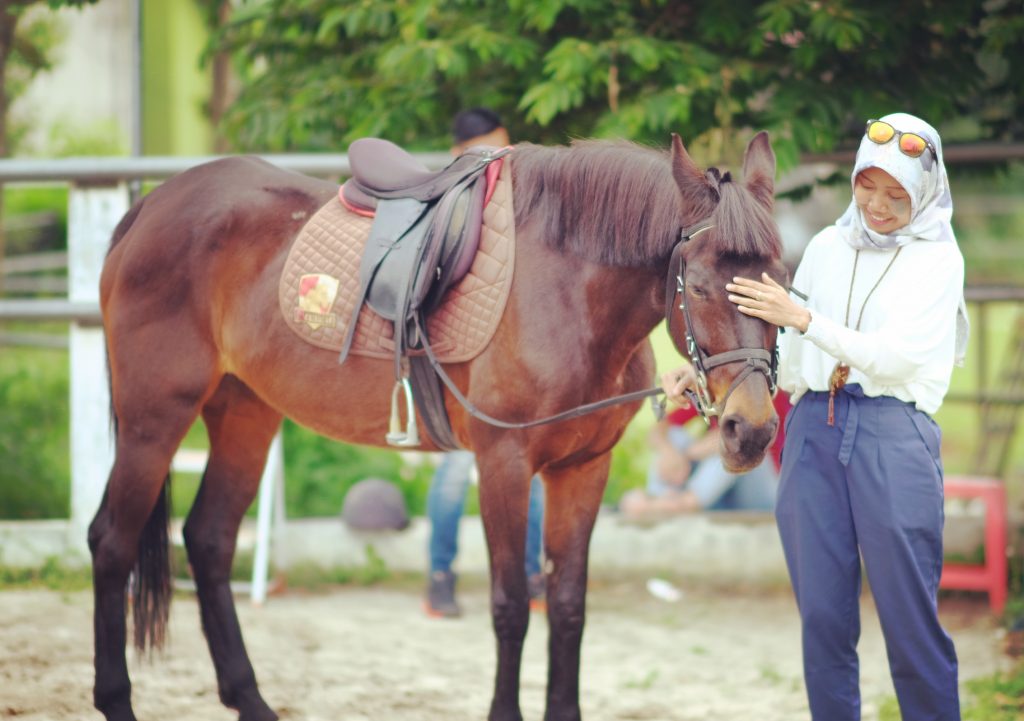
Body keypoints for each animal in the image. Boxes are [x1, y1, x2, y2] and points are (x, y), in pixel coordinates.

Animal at [90, 131, 782, 721]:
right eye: (699, 285)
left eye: (778, 282)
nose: (750, 430)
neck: (568, 294)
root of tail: (151, 206)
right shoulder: (503, 464)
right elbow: (510, 606)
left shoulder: (583, 470)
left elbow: (567, 607)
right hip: (155, 417)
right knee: (111, 542)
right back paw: (117, 699)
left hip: (244, 415)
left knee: (208, 540)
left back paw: (251, 700)